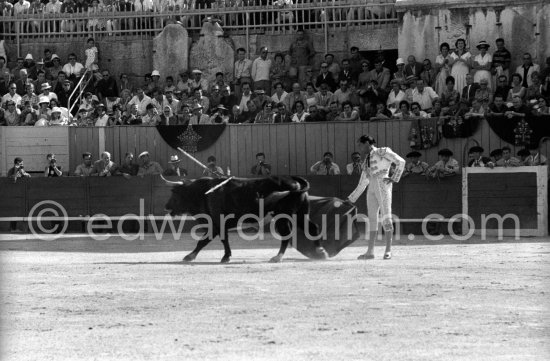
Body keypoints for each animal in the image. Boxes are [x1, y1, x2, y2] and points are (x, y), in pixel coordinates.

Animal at [164, 176, 360, 262]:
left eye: (174, 194)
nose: (166, 207)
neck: (206, 192)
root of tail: (295, 182)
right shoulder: (221, 224)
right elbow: (220, 239)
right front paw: (226, 256)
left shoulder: (217, 222)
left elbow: (206, 240)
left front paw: (190, 256)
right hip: (300, 214)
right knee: (312, 229)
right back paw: (321, 253)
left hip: (283, 217)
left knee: (287, 236)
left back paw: (277, 257)